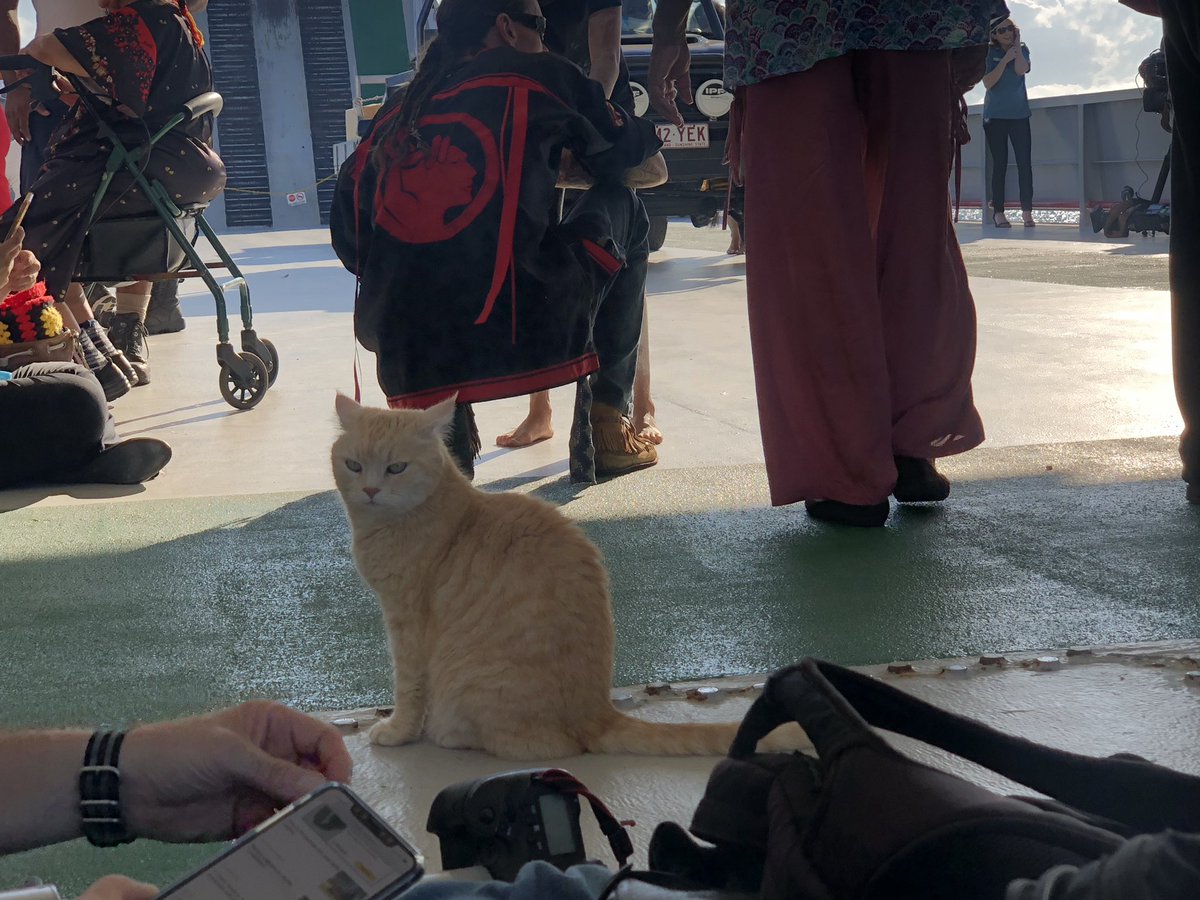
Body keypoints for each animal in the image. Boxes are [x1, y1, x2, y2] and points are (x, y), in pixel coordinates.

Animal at [338, 396, 806, 763]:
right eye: (353, 465)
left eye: (396, 467)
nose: (370, 490)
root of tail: (597, 712)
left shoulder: (406, 623)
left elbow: (407, 687)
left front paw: (397, 731)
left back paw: (448, 735)